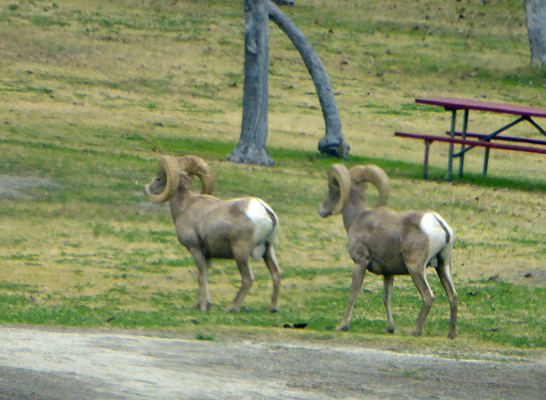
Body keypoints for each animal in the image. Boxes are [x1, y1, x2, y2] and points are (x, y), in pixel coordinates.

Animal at [143, 155, 280, 312]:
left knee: (248, 279)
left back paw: (231, 307)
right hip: (269, 250)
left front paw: (203, 306)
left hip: (241, 254)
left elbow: (201, 276)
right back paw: (272, 308)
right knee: (276, 274)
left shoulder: (195, 249)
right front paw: (203, 303)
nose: (146, 188)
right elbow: (205, 275)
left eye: (159, 178)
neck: (185, 206)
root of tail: (265, 211)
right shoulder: (207, 254)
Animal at [316, 164, 456, 340]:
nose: (321, 210)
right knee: (453, 296)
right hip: (443, 267)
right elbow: (386, 298)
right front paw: (390, 328)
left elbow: (353, 294)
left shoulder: (360, 263)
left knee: (428, 297)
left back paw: (415, 331)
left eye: (331, 190)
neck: (357, 218)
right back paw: (451, 334)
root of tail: (438, 223)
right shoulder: (388, 273)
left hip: (416, 268)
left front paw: (342, 326)